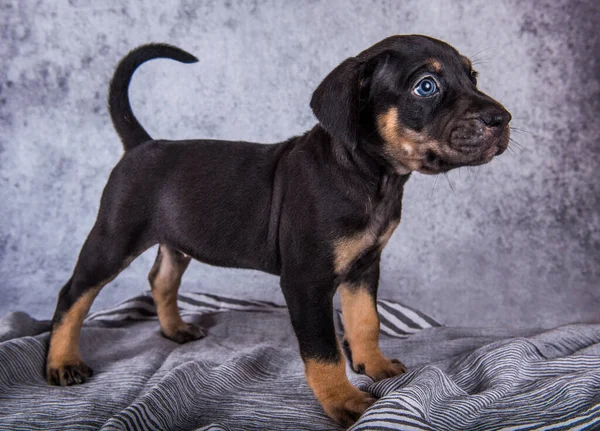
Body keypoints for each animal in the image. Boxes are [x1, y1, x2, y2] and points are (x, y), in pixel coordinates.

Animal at [45, 35, 510, 426]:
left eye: (472, 77)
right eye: (426, 86)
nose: (502, 119)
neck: (370, 178)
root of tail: (141, 145)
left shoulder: (363, 268)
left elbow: (365, 320)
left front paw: (372, 365)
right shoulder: (306, 281)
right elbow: (323, 351)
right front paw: (344, 401)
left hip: (176, 241)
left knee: (161, 278)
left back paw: (174, 329)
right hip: (114, 237)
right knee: (73, 294)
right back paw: (62, 362)